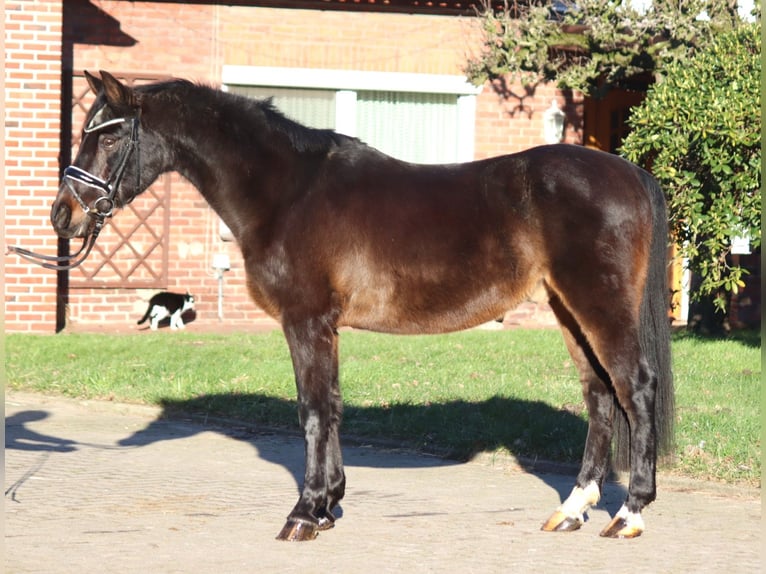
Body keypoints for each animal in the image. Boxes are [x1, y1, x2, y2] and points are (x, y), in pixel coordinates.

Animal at [49, 72, 672, 544]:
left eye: (109, 138)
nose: (63, 215)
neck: (287, 192)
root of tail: (630, 172)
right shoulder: (325, 328)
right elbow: (332, 408)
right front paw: (327, 506)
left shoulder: (305, 323)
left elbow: (313, 411)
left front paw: (304, 514)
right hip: (567, 310)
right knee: (599, 396)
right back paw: (571, 508)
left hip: (597, 305)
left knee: (634, 388)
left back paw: (628, 513)